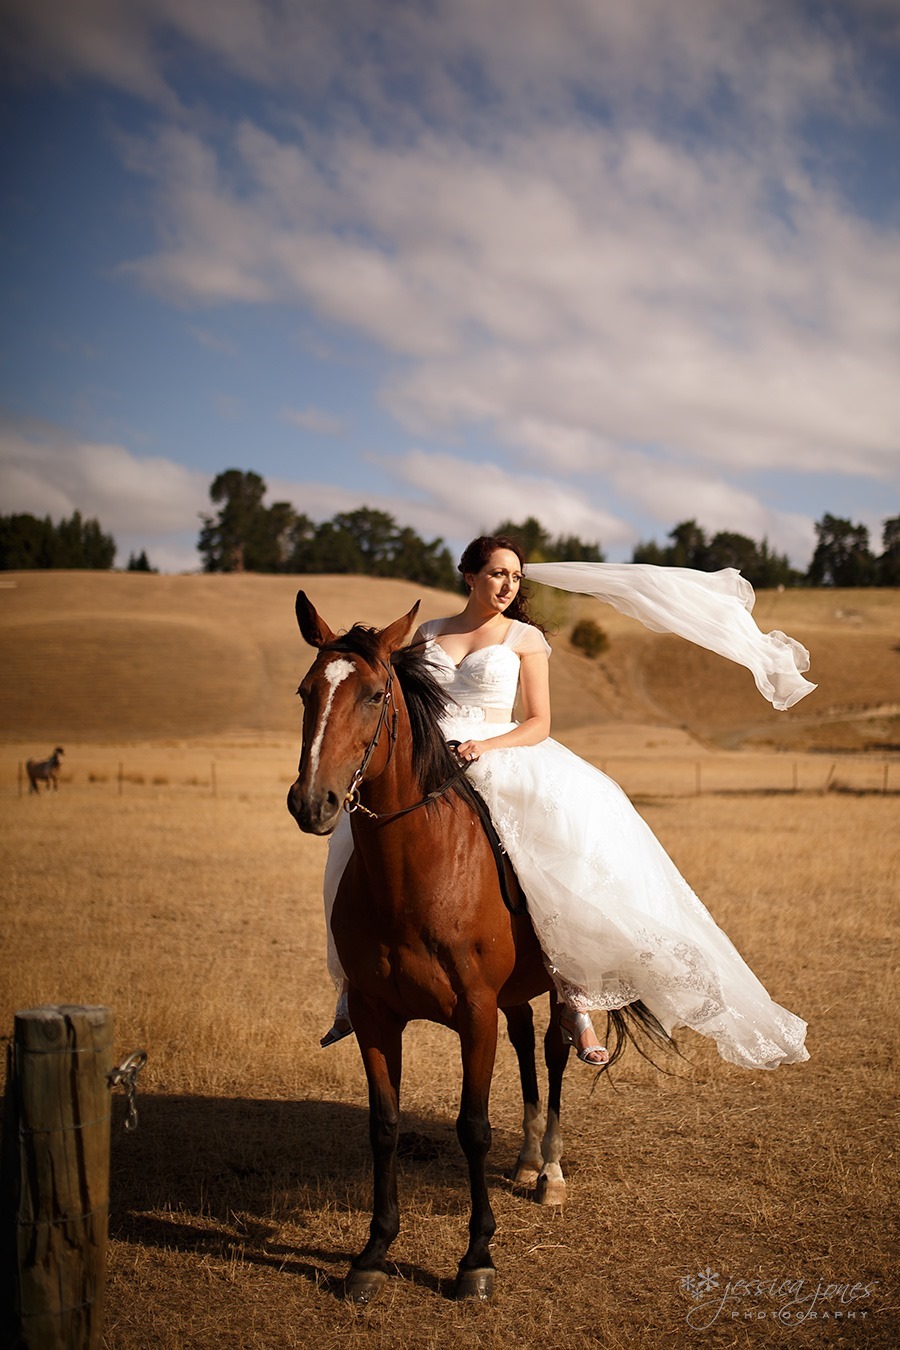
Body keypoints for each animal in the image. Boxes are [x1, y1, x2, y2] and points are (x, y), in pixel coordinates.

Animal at [288, 596, 661, 1301]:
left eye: (375, 695)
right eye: (305, 692)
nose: (310, 802)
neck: (412, 874)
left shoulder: (474, 1013)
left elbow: (473, 1127)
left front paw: (477, 1259)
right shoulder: (377, 1015)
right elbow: (384, 1125)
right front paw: (373, 1253)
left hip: (548, 986)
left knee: (555, 1054)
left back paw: (549, 1172)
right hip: (509, 999)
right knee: (525, 1047)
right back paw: (526, 1162)